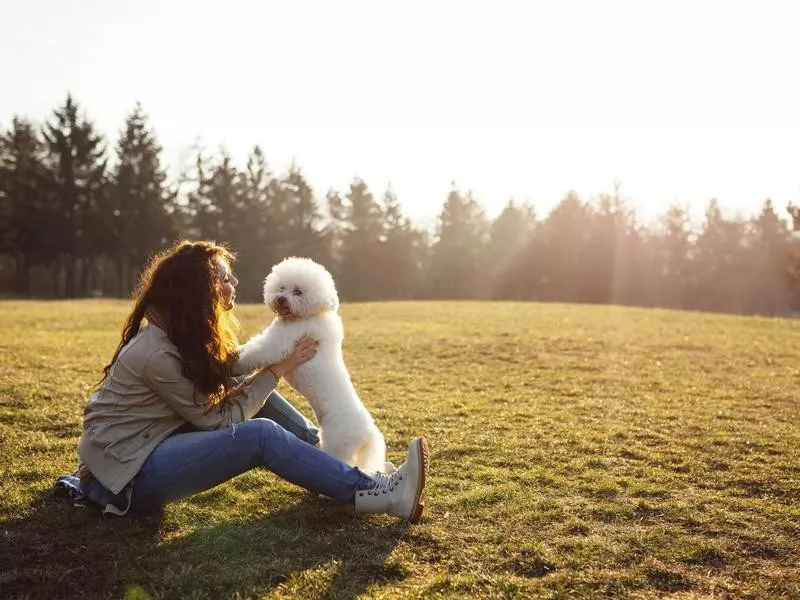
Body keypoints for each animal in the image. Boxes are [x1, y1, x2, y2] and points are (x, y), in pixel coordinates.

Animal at [234, 256, 390, 474]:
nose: (281, 299)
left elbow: (256, 351)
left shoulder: (279, 343)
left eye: (298, 292)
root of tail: (368, 432)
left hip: (338, 444)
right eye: (281, 288)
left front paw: (232, 358)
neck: (307, 316)